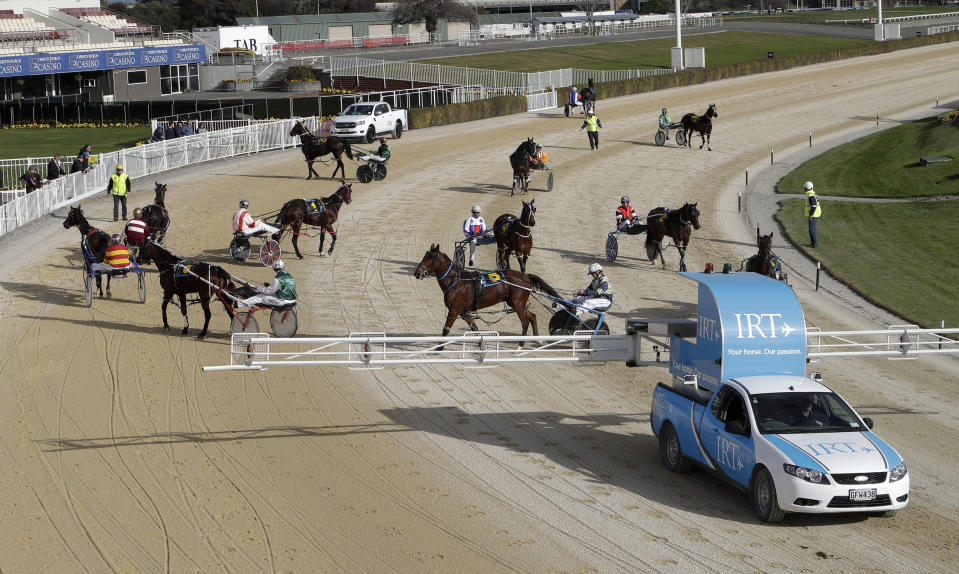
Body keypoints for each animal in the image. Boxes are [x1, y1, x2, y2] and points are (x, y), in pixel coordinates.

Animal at [414, 244, 560, 342]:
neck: (456, 281)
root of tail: (525, 277)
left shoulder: (454, 310)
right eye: (424, 256)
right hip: (517, 304)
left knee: (525, 322)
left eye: (430, 258)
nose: (417, 273)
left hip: (518, 304)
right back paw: (538, 339)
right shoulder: (463, 311)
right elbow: (474, 328)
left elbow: (445, 330)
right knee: (532, 317)